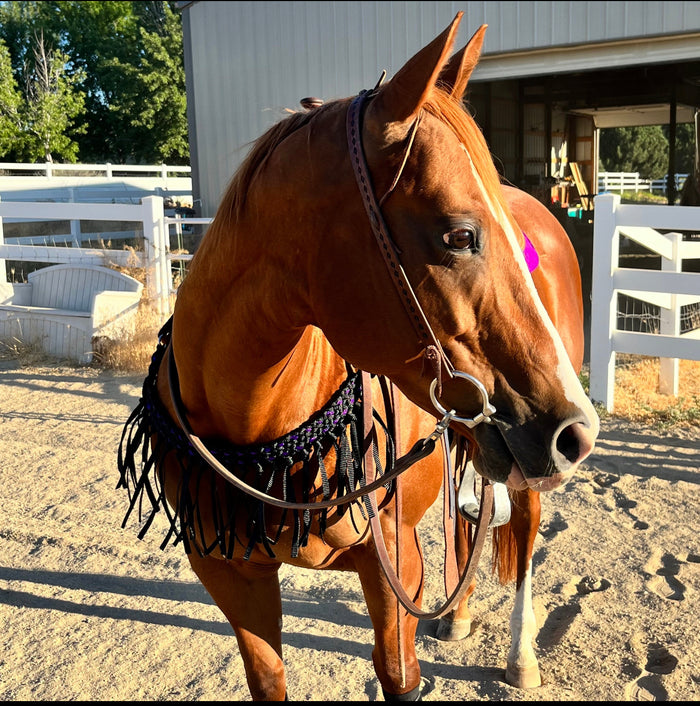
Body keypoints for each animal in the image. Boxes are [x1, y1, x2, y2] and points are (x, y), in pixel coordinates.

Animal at [117, 13, 599, 701]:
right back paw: (458, 613)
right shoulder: (231, 577)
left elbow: (398, 672)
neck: (259, 427)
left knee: (525, 528)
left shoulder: (394, 571)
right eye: (460, 234)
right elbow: (268, 676)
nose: (576, 430)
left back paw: (520, 655)